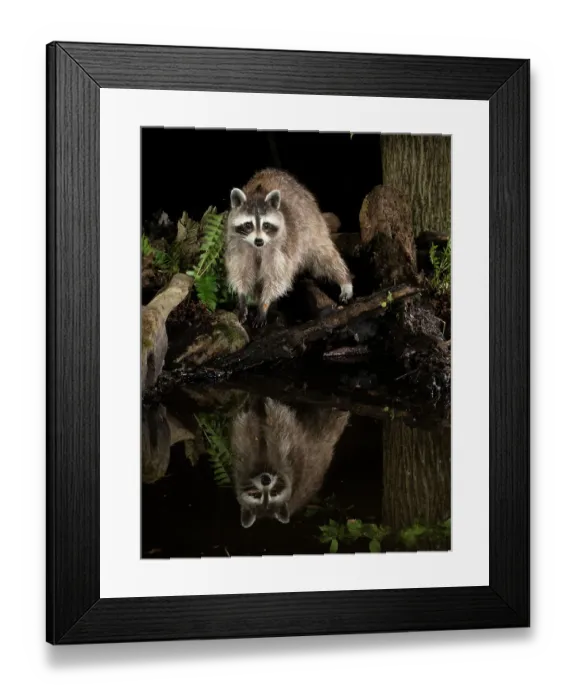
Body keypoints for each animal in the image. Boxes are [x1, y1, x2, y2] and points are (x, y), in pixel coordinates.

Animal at [225, 168, 354, 327]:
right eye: (248, 225)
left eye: (266, 225)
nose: (259, 241)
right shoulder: (238, 245)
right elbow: (241, 272)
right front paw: (242, 298)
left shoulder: (282, 247)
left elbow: (277, 277)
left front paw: (264, 304)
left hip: (311, 223)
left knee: (324, 255)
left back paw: (344, 279)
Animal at [229, 396, 350, 528]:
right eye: (256, 495)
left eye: (274, 492)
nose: (265, 480)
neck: (264, 466)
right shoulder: (243, 463)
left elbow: (277, 424)